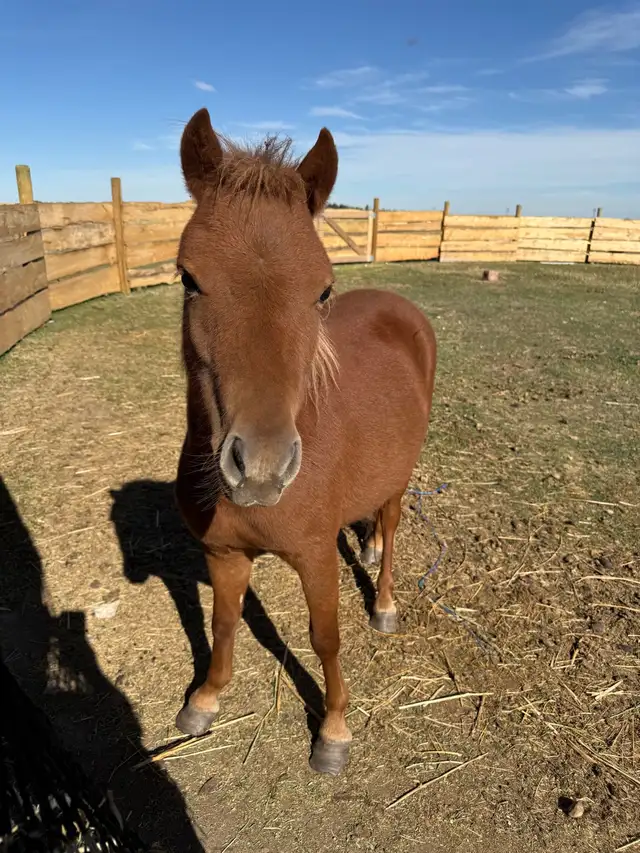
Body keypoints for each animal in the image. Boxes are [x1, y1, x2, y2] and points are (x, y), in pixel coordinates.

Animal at [172, 108, 437, 776]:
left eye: (322, 290)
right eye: (188, 277)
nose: (261, 468)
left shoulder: (315, 558)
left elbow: (325, 638)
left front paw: (334, 732)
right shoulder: (223, 554)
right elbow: (224, 624)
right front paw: (204, 700)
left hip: (400, 478)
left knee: (390, 526)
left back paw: (385, 601)